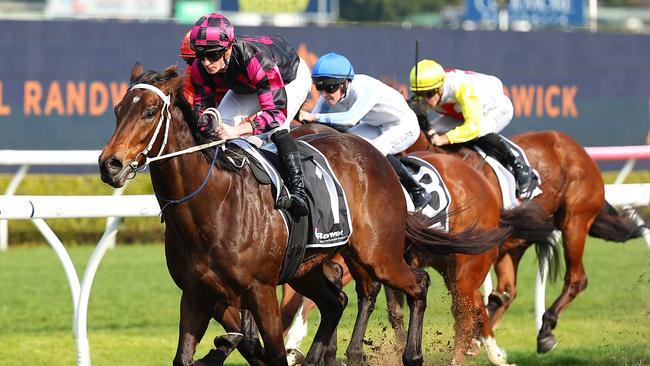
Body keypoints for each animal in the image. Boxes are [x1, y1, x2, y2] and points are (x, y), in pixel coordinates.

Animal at [96, 66, 506, 366]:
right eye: (117, 111)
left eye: (150, 112)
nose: (110, 164)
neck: (211, 206)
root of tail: (377, 157)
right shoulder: (197, 293)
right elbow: (192, 355)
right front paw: (222, 347)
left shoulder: (260, 290)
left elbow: (273, 353)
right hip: (305, 268)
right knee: (337, 302)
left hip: (378, 255)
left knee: (419, 284)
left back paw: (415, 354)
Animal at [400, 130, 644, 354]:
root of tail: (573, 144)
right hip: (516, 242)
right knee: (507, 291)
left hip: (574, 222)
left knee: (576, 279)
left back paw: (545, 330)